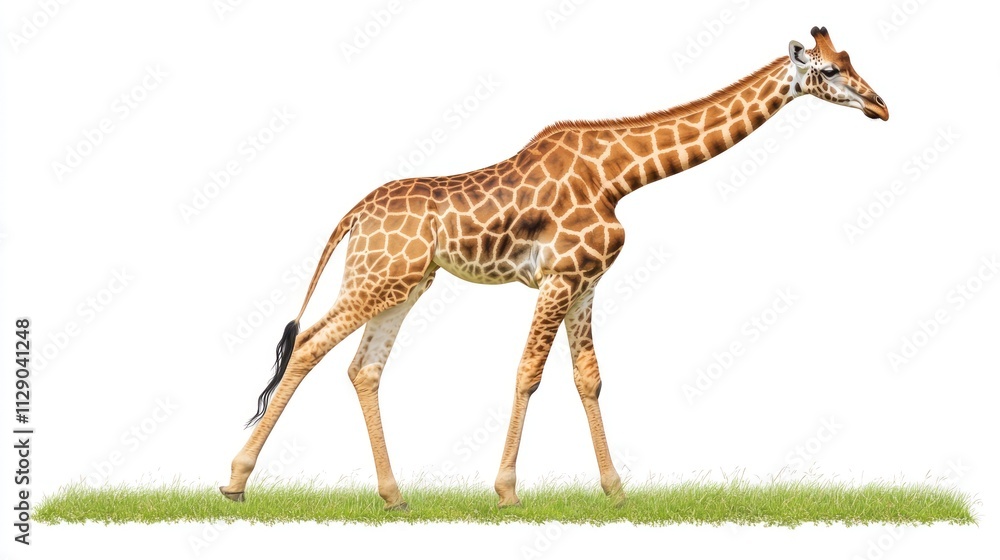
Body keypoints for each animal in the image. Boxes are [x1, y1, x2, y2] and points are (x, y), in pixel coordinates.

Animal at [220, 26, 887, 509]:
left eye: (852, 59)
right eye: (830, 70)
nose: (881, 106)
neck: (619, 176)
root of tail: (354, 214)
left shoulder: (586, 282)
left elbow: (588, 377)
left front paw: (616, 490)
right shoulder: (560, 278)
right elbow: (528, 373)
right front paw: (507, 491)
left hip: (405, 284)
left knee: (364, 368)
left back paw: (393, 496)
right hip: (378, 278)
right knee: (309, 344)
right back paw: (235, 481)